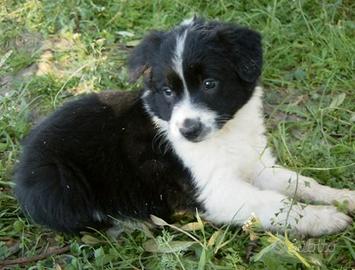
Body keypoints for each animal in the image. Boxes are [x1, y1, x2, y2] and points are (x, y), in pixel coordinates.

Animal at [12, 17, 354, 236]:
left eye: (209, 84)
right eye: (167, 92)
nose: (188, 130)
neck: (227, 134)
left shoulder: (257, 164)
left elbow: (300, 183)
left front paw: (342, 197)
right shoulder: (217, 190)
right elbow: (274, 203)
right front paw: (324, 219)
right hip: (57, 182)